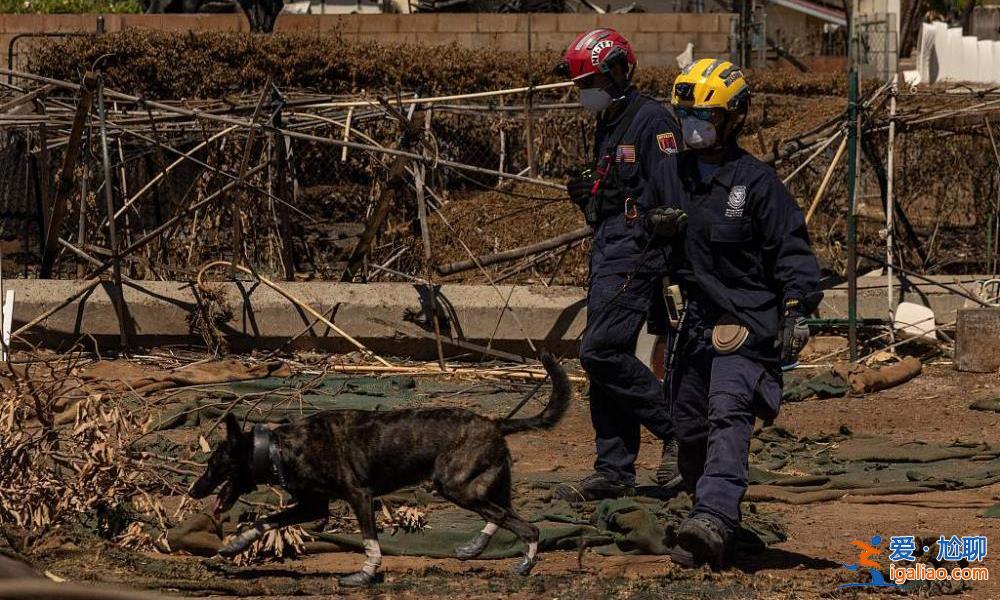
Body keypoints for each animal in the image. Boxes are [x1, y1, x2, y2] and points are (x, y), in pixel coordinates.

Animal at [189, 352, 572, 584]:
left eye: (213, 464)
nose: (193, 491)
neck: (279, 448)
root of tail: (495, 422)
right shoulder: (314, 506)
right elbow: (266, 520)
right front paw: (236, 544)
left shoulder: (359, 497)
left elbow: (370, 541)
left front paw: (365, 575)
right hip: (481, 486)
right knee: (503, 513)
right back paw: (477, 546)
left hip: (455, 487)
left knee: (525, 526)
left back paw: (525, 562)